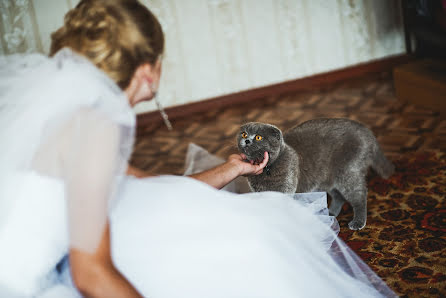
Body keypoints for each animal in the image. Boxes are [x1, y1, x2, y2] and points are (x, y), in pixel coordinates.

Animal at [237, 118, 394, 230]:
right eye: (244, 133)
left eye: (258, 137)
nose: (247, 140)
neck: (267, 171)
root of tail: (366, 131)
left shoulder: (286, 188)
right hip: (326, 178)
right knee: (338, 196)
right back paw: (329, 213)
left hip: (347, 171)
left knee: (359, 194)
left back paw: (358, 221)